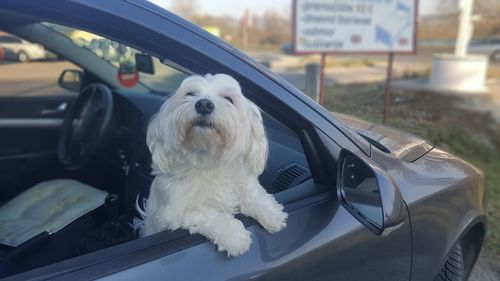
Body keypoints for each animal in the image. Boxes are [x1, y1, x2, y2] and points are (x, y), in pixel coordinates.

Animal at [135, 72, 288, 256]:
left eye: (229, 99)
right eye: (189, 94)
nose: (204, 104)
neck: (210, 162)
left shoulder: (243, 180)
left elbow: (253, 193)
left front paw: (271, 212)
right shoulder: (174, 212)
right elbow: (208, 214)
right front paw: (234, 235)